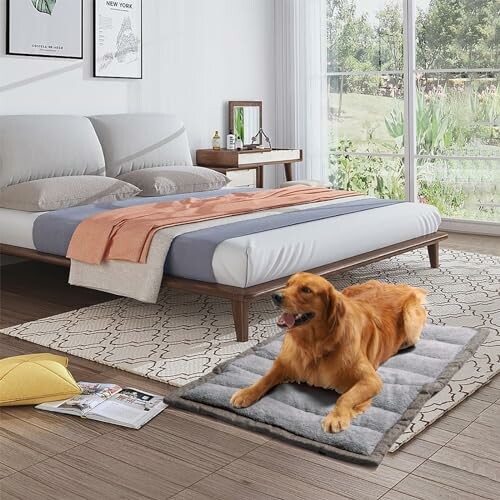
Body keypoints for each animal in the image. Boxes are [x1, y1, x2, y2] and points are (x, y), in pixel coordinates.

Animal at [229, 272, 428, 432]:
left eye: (306, 290)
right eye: (287, 284)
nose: (275, 296)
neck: (314, 345)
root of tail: (399, 286)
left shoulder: (371, 379)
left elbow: (345, 397)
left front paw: (337, 417)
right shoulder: (284, 362)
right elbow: (265, 378)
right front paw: (246, 393)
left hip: (410, 321)